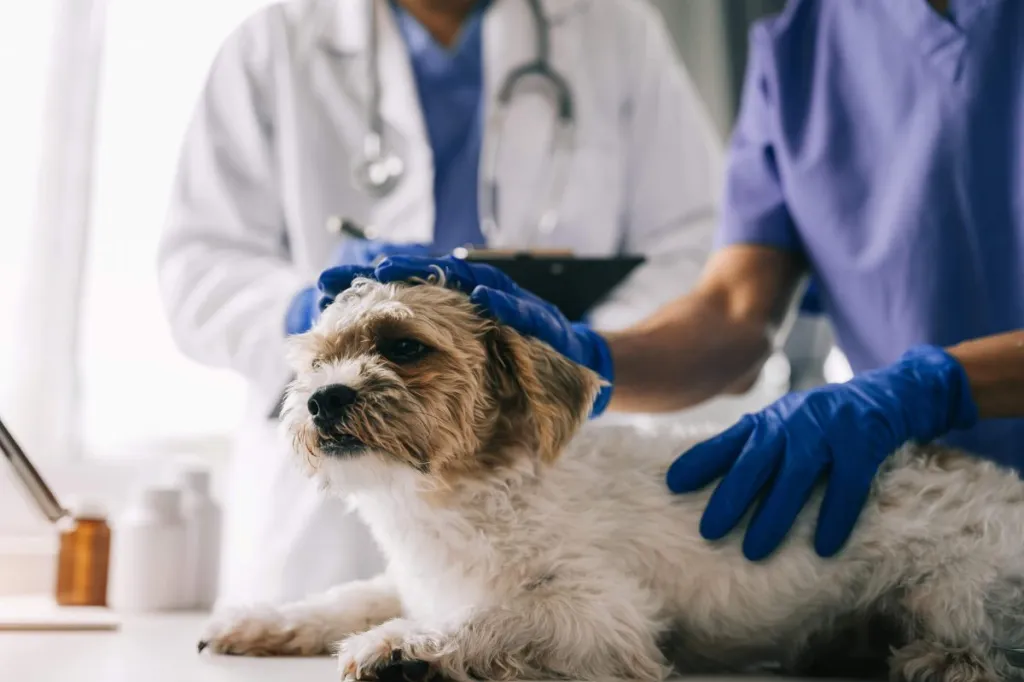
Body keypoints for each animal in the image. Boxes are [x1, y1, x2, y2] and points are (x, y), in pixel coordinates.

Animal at [199, 276, 1024, 679]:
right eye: (314, 361)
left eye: (404, 346)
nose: (323, 397)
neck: (464, 497)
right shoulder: (412, 577)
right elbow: (341, 598)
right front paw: (259, 621)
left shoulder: (598, 615)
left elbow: (488, 617)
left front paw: (402, 648)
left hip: (954, 590)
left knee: (983, 645)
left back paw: (940, 660)